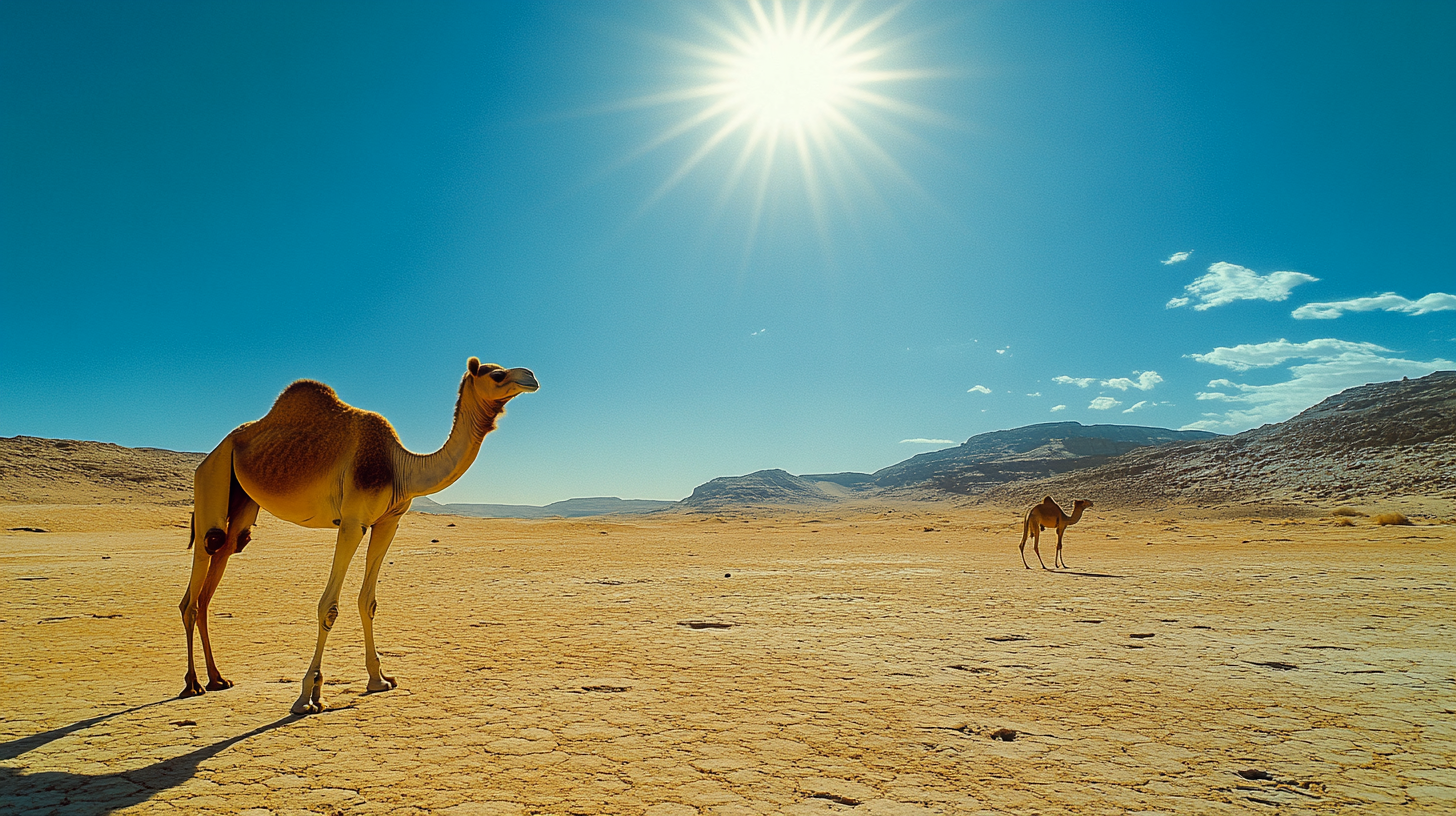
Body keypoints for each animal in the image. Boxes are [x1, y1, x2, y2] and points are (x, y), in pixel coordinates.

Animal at [179, 354, 538, 711]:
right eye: (497, 375)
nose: (531, 377)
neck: (401, 466)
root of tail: (214, 452)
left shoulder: (388, 522)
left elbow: (368, 601)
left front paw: (379, 679)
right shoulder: (353, 521)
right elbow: (329, 606)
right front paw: (307, 695)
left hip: (241, 501)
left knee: (220, 565)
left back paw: (217, 679)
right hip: (211, 478)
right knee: (199, 575)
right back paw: (193, 684)